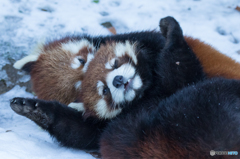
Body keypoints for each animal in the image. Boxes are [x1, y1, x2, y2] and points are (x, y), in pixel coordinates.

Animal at [10, 16, 240, 158]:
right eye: (81, 89)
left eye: (82, 61)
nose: (118, 80)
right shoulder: (100, 123)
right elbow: (80, 131)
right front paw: (36, 111)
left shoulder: (146, 40)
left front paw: (170, 30)